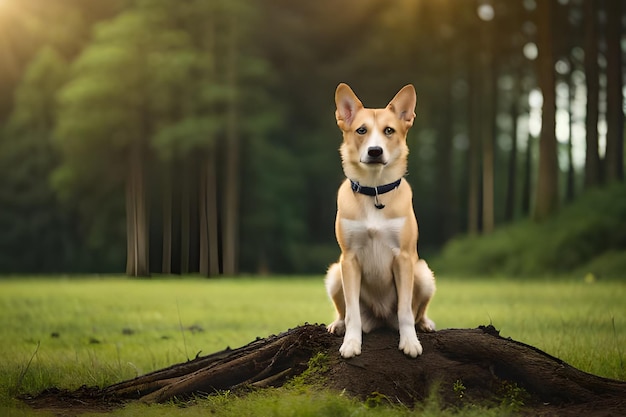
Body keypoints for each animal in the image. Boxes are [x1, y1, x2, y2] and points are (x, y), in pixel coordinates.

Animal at [324, 83, 436, 358]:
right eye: (361, 130)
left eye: (389, 131)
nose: (375, 151)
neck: (374, 190)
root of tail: (381, 318)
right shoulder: (349, 259)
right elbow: (352, 312)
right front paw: (351, 343)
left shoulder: (404, 258)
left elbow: (406, 311)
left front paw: (410, 342)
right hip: (335, 273)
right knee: (345, 310)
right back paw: (338, 325)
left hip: (423, 274)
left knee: (417, 311)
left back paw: (425, 324)